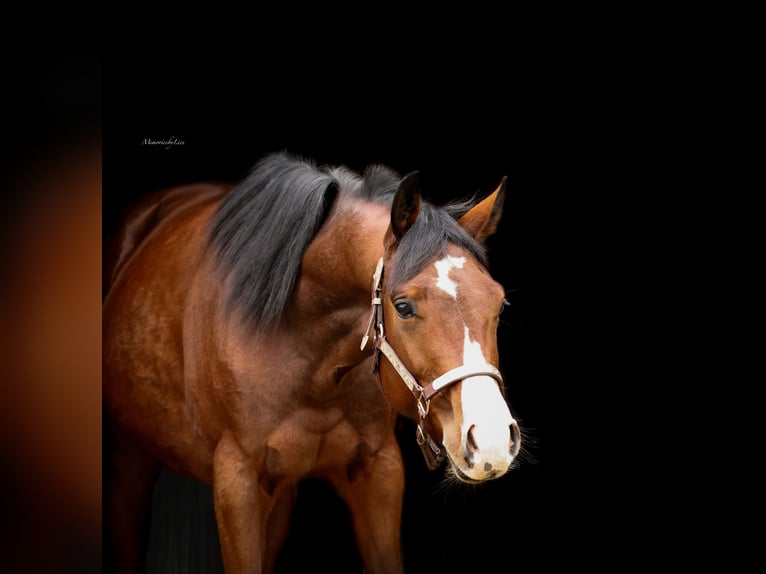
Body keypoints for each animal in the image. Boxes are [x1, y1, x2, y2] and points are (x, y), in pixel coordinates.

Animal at [103, 152, 521, 574]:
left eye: (500, 304)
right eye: (403, 306)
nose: (491, 440)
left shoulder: (379, 472)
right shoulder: (236, 482)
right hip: (129, 462)